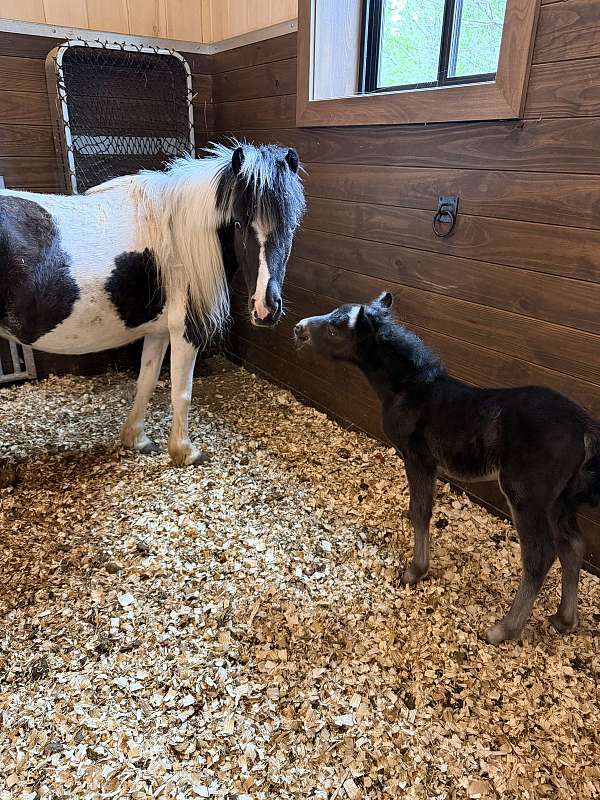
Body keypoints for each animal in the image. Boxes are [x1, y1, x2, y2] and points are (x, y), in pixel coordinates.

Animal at [0, 142, 305, 466]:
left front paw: (137, 438)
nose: (265, 309)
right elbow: (181, 392)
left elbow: (146, 382)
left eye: (290, 227)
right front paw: (185, 451)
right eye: (238, 222)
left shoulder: (158, 331)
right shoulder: (185, 331)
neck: (177, 240)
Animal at [294, 292, 600, 644]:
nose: (298, 328)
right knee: (572, 545)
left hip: (526, 494)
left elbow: (420, 511)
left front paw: (415, 571)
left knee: (540, 555)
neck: (407, 389)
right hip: (560, 499)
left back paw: (503, 630)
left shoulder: (419, 458)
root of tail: (585, 430)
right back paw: (564, 620)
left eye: (333, 329)